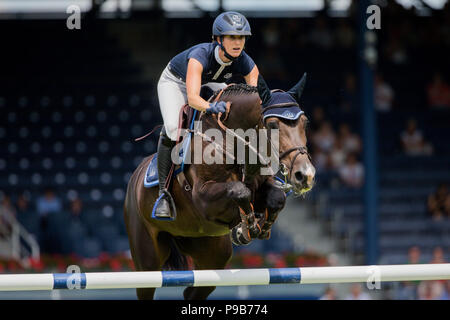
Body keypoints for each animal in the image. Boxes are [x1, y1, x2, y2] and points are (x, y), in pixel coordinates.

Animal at [121, 77, 314, 300]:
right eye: (273, 124)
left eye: (305, 122)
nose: (305, 175)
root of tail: (135, 177)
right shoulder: (204, 198)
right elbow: (240, 191)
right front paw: (245, 226)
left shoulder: (262, 188)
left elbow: (277, 197)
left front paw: (256, 227)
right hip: (147, 257)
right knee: (147, 285)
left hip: (212, 254)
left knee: (194, 290)